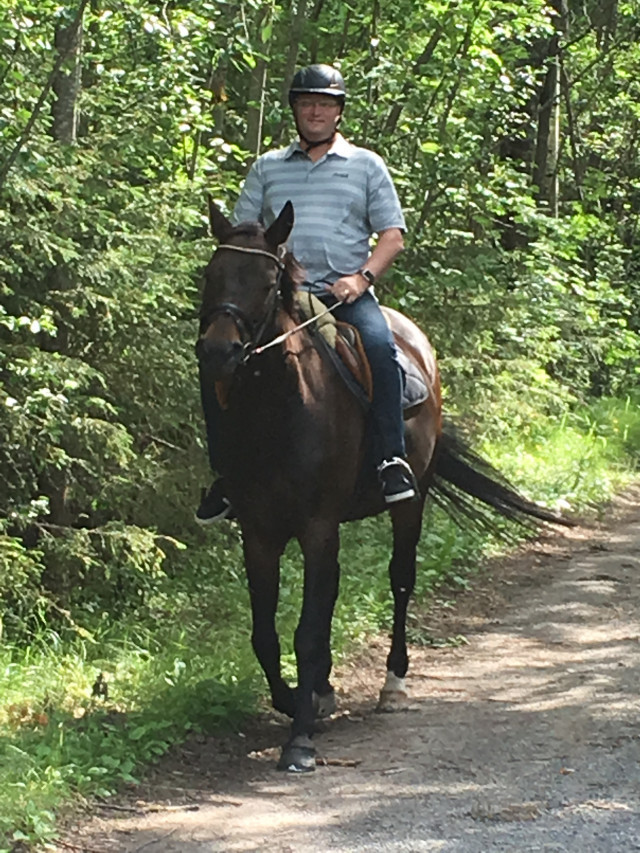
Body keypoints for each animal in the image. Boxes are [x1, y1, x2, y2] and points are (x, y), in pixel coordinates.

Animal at [196, 200, 568, 772]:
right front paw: (296, 700)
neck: (280, 411)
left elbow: (306, 631)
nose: (218, 352)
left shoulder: (317, 525)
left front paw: (300, 738)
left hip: (409, 503)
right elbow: (265, 633)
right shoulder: (259, 531)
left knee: (400, 580)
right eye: (211, 275)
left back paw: (393, 683)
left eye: (265, 282)